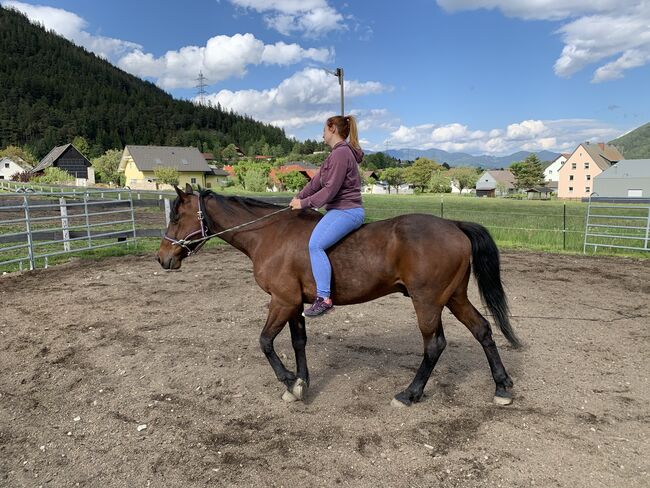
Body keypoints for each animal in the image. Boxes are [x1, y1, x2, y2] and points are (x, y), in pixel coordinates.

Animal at [157, 185, 516, 406]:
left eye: (176, 216)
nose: (163, 258)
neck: (269, 235)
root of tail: (453, 225)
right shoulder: (295, 303)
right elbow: (298, 342)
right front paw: (301, 382)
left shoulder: (282, 301)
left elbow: (265, 342)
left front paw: (289, 381)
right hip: (452, 297)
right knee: (482, 329)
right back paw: (501, 386)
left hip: (427, 302)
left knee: (434, 345)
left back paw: (409, 394)